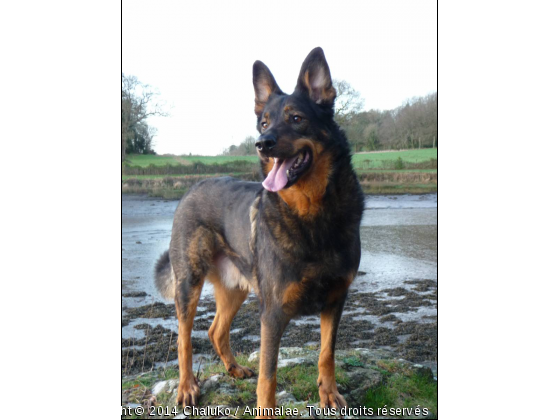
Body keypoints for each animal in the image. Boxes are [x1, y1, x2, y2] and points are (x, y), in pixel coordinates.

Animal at [154, 46, 364, 416]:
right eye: (264, 122)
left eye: (296, 118)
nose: (261, 143)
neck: (312, 215)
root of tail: (193, 187)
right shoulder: (273, 314)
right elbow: (269, 376)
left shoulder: (335, 301)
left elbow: (326, 354)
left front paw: (329, 393)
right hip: (189, 285)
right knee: (184, 339)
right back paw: (186, 387)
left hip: (235, 288)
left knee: (215, 331)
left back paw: (233, 368)